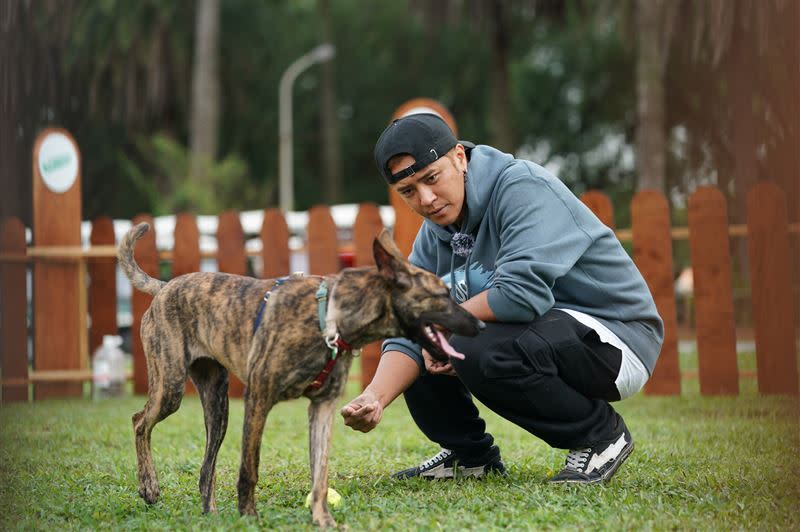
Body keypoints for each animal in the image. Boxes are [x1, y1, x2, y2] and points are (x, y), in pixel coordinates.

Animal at [119, 222, 482, 524]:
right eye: (442, 295)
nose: (480, 325)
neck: (331, 317)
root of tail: (165, 287)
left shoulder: (322, 408)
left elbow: (319, 474)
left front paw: (323, 520)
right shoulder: (259, 398)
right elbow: (250, 467)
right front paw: (249, 517)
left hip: (217, 406)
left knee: (206, 467)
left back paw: (210, 514)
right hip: (171, 386)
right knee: (139, 421)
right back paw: (149, 487)